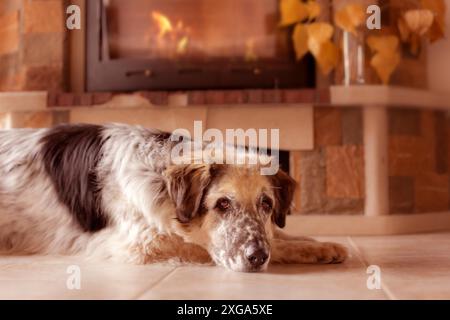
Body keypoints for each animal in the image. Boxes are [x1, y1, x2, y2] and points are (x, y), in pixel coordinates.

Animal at [0, 124, 348, 272]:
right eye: (222, 204)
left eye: (266, 204)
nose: (257, 257)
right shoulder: (142, 245)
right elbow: (201, 246)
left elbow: (279, 235)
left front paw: (319, 245)